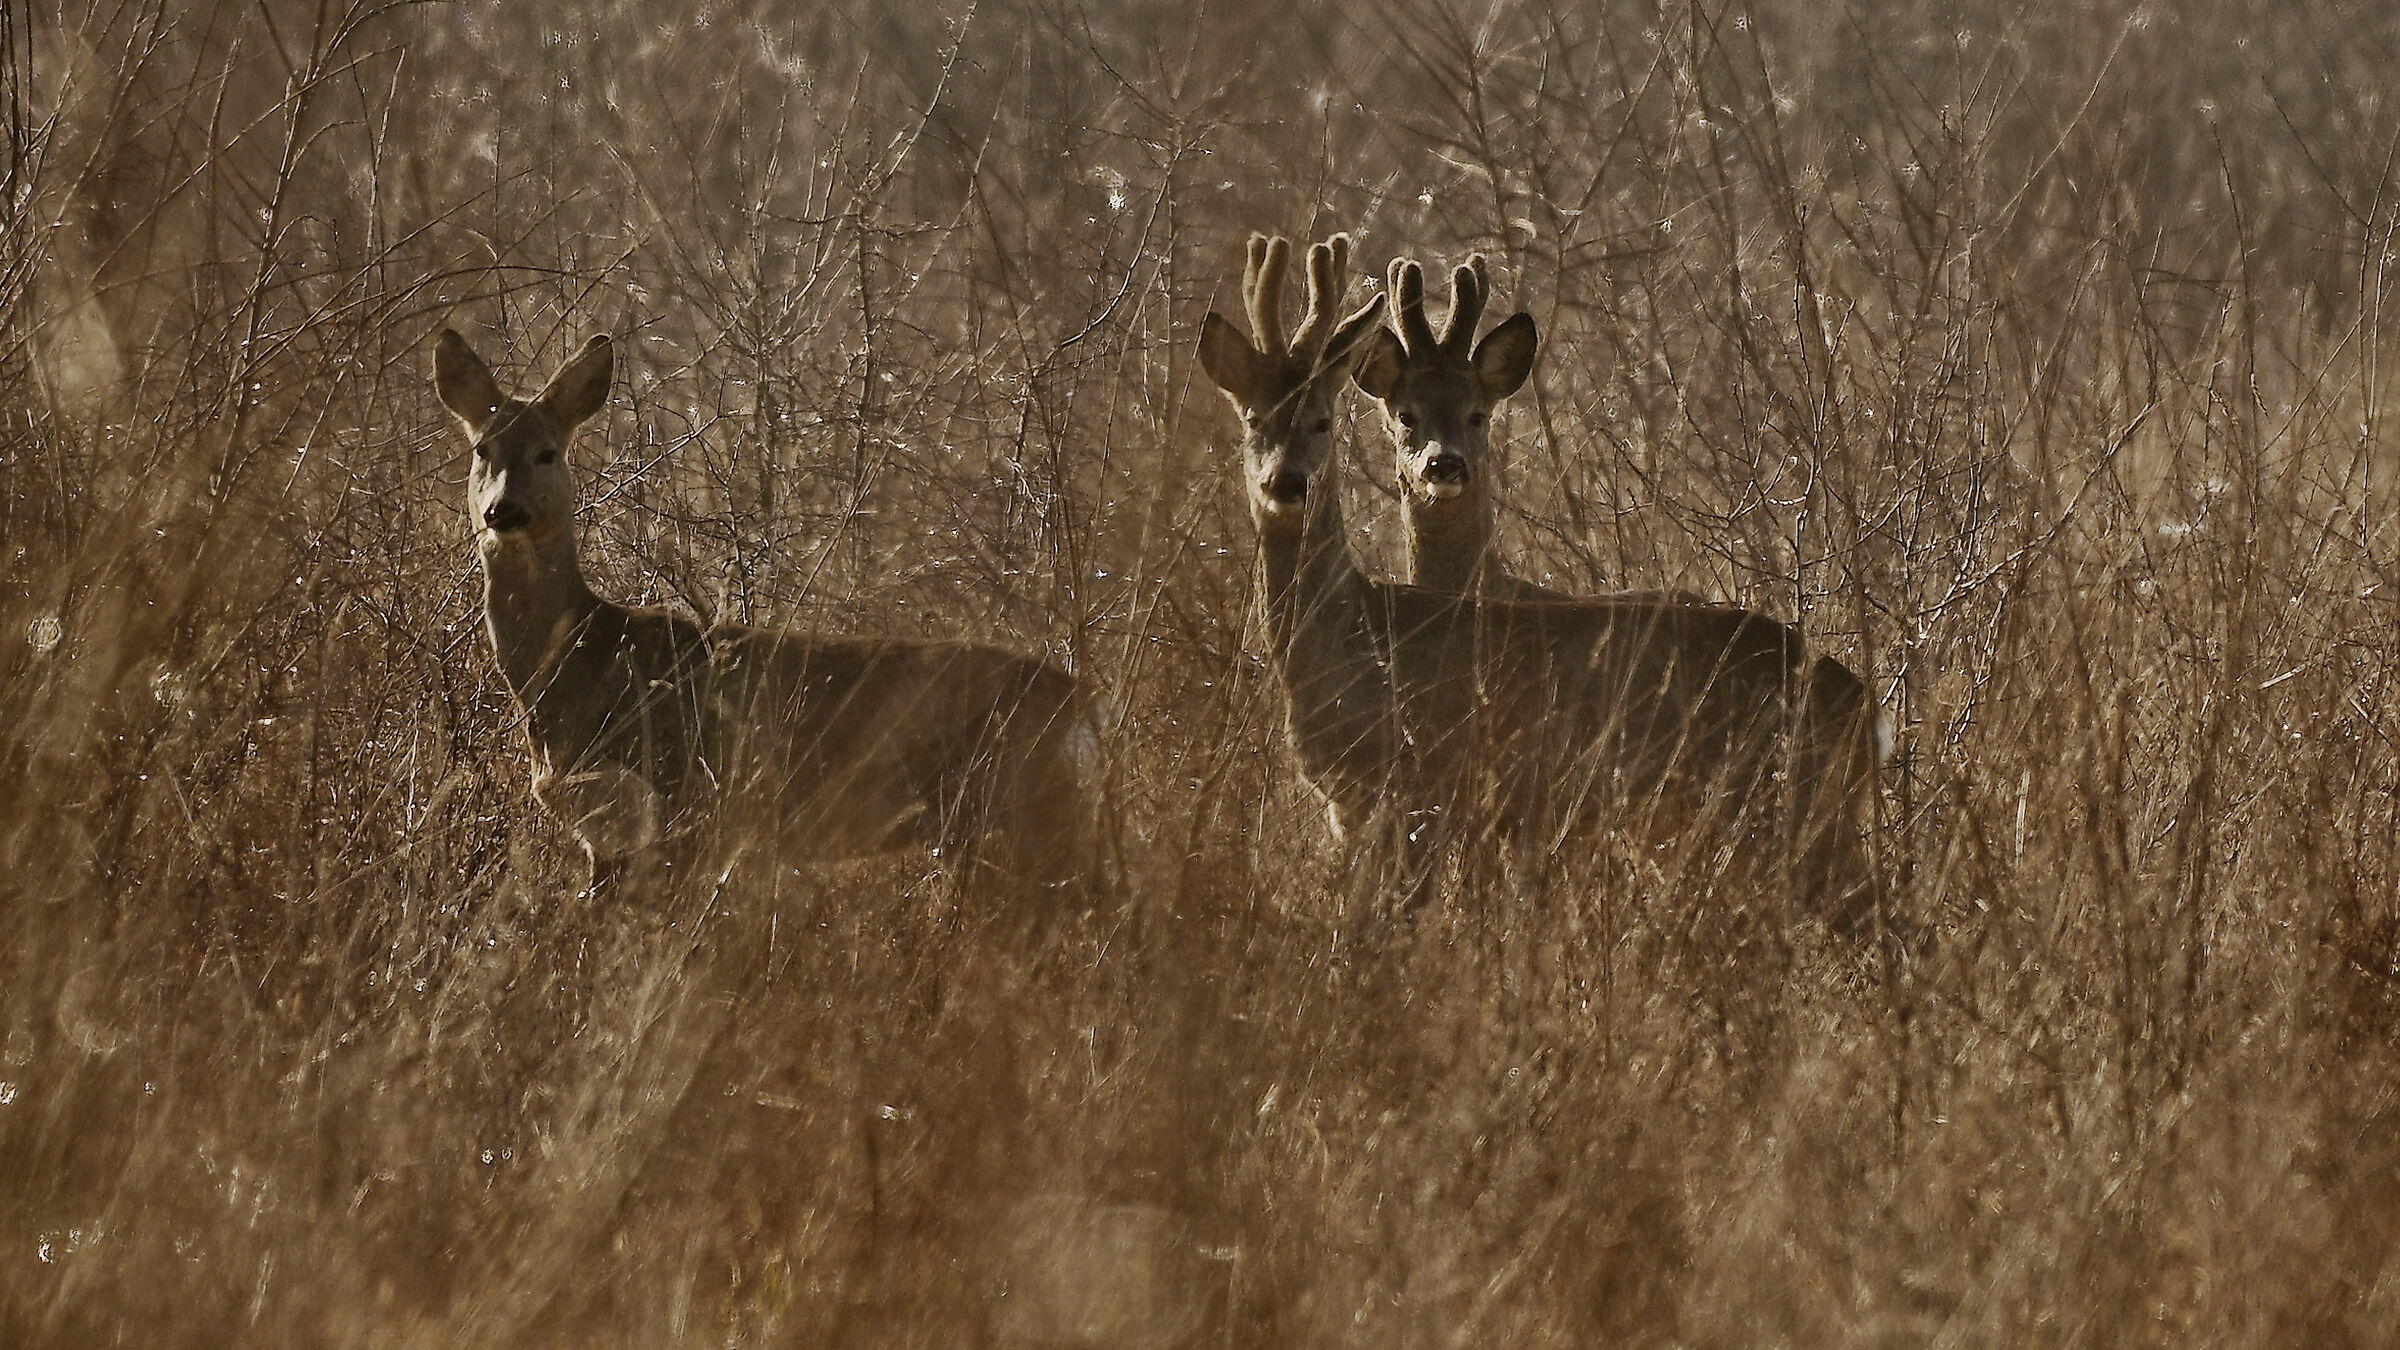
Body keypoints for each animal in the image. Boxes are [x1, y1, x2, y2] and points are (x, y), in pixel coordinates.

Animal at [433, 328, 1099, 905]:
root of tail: (1080, 700)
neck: (580, 661)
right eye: (482, 449)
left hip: (1023, 808)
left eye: (548, 453)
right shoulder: (612, 836)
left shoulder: (678, 804)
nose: (503, 510)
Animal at [1196, 234, 1882, 925]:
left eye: (1320, 422)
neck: (1355, 640)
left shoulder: (1421, 788)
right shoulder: (1356, 808)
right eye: (1254, 419)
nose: (1286, 481)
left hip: (1776, 805)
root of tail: (1860, 703)